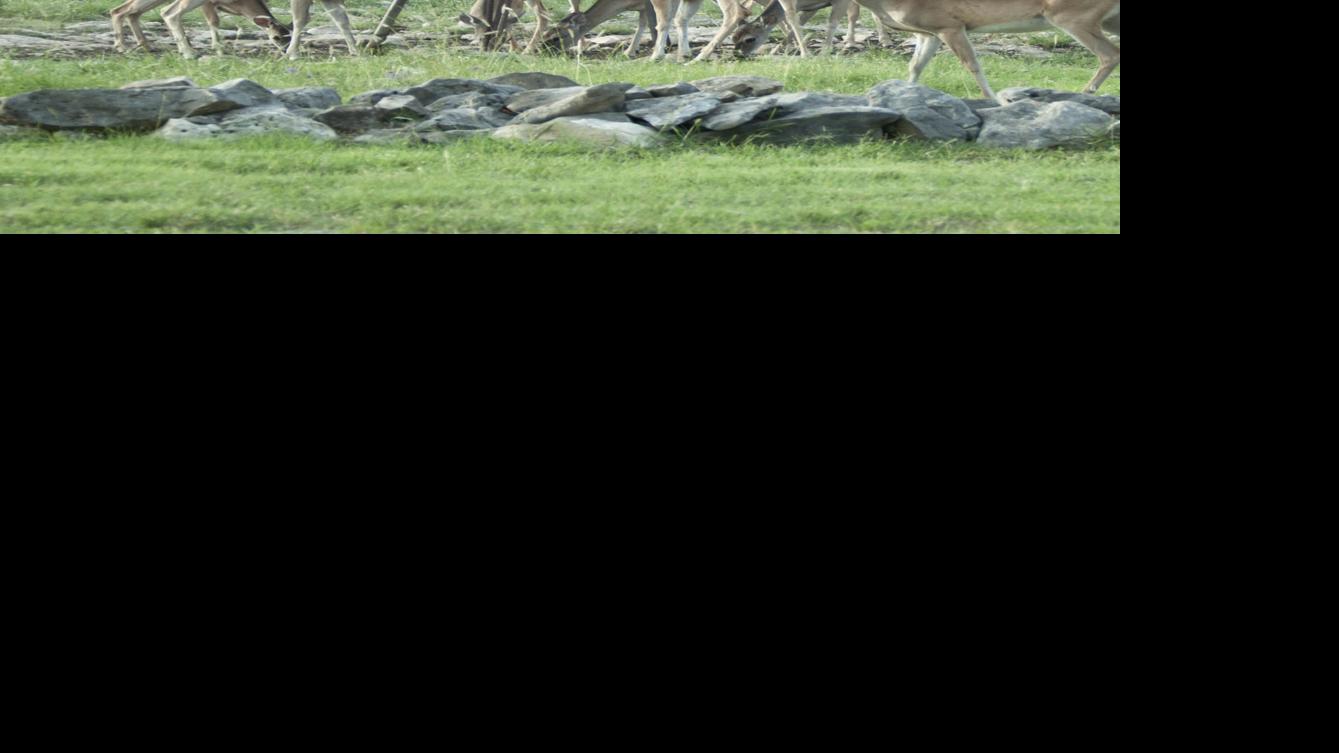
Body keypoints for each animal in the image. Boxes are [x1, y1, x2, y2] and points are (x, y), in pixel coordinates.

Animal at [111, 0, 289, 54]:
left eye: (291, 37)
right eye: (277, 37)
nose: (285, 51)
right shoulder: (209, 2)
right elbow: (214, 21)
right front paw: (218, 47)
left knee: (126, 11)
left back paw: (147, 46)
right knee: (168, 12)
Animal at [852, 0, 1120, 102]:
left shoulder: (950, 24)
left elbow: (972, 63)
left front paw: (993, 99)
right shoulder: (930, 33)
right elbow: (915, 66)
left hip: (1073, 16)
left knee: (1110, 54)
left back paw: (1085, 93)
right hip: (1106, 19)